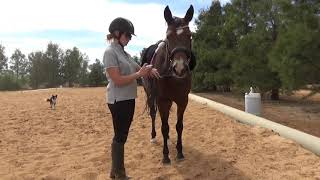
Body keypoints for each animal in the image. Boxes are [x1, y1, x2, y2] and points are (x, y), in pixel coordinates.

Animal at [141, 4, 196, 164]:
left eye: (189, 36)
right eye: (168, 37)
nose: (180, 68)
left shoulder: (183, 101)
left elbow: (179, 126)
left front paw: (180, 152)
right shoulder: (162, 100)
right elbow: (164, 127)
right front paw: (165, 155)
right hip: (150, 94)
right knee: (153, 114)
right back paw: (153, 136)